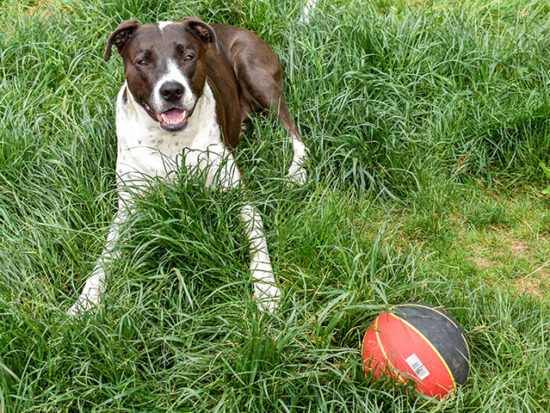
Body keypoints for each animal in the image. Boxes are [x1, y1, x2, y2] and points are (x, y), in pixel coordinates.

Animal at [67, 17, 308, 314]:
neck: (170, 142)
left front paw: (266, 288)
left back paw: (296, 171)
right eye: (142, 61)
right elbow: (106, 255)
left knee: (293, 130)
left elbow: (257, 237)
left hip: (255, 74)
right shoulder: (129, 208)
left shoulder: (238, 195)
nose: (171, 90)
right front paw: (85, 301)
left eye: (188, 57)